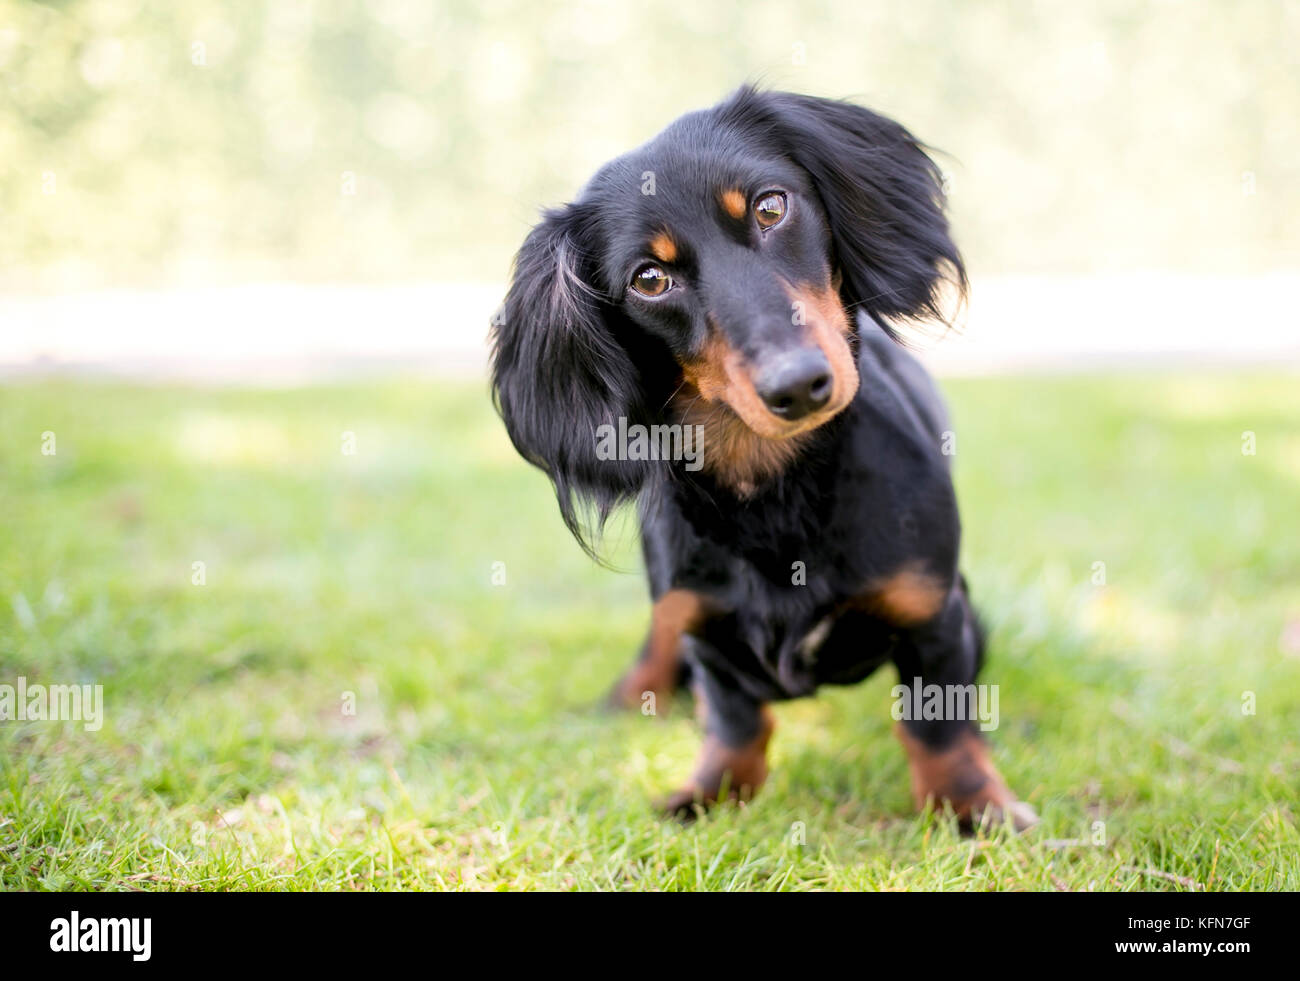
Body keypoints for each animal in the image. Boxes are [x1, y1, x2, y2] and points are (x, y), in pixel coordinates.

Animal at [491, 88, 1040, 831]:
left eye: (770, 208)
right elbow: (735, 721)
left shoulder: (933, 612)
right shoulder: (704, 629)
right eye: (650, 278)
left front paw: (973, 804)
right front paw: (711, 793)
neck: (775, 493)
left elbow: (938, 726)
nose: (798, 384)